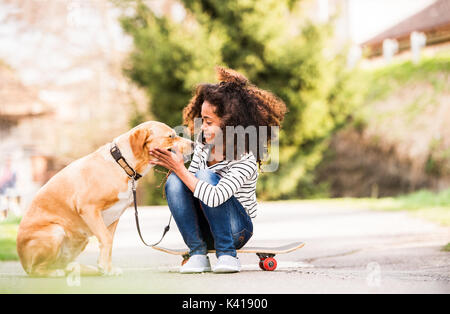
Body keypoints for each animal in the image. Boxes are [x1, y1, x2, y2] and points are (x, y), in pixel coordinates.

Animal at [17, 121, 193, 276]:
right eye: (171, 136)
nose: (193, 144)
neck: (123, 165)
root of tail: (22, 261)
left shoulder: (114, 217)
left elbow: (109, 241)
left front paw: (106, 268)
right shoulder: (89, 208)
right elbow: (106, 239)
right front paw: (105, 268)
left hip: (81, 240)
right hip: (56, 231)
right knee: (36, 270)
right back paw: (54, 273)